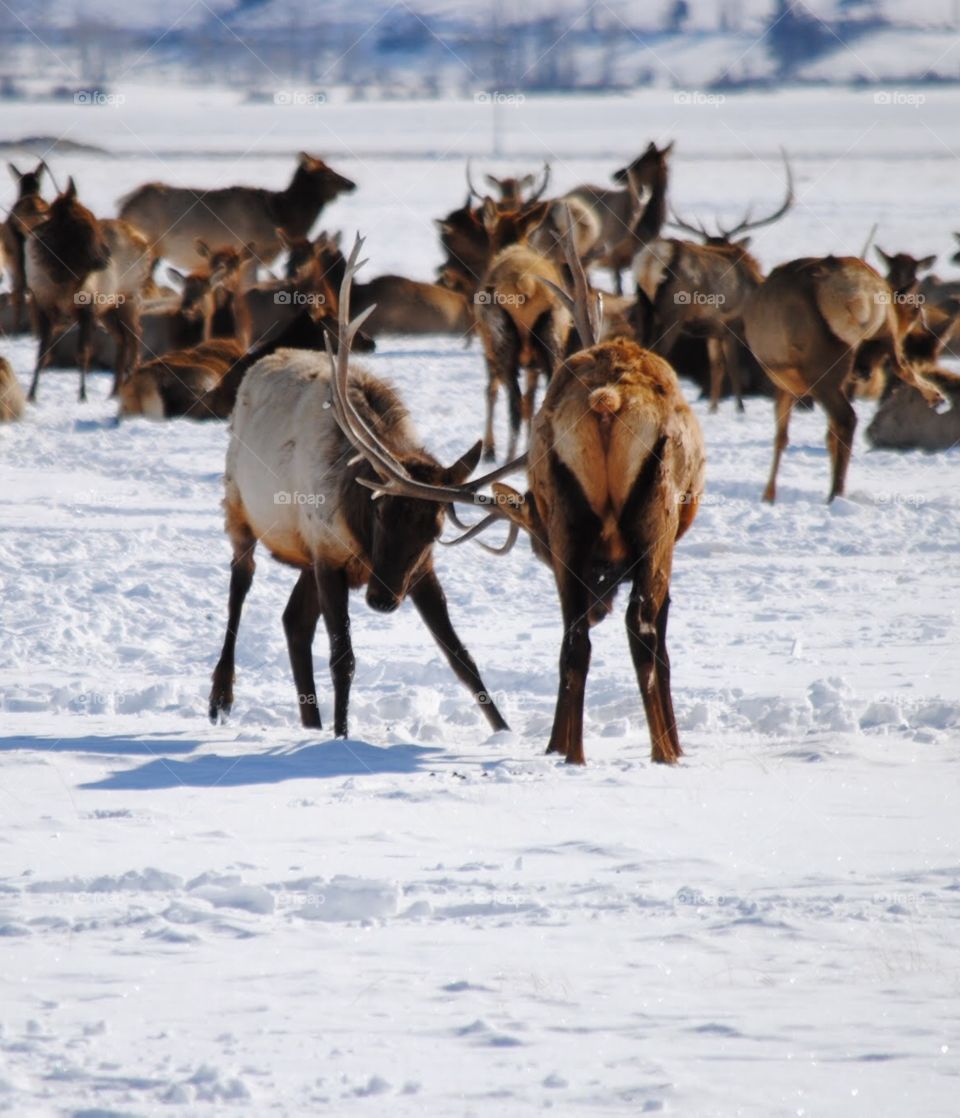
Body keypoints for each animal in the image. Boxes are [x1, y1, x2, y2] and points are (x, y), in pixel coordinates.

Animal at [25, 178, 150, 402]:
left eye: (93, 221)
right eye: (80, 225)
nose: (105, 259)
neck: (61, 280)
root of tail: (146, 242)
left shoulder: (88, 307)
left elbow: (83, 353)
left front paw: (82, 395)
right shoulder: (42, 305)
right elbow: (41, 354)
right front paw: (31, 394)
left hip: (128, 298)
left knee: (135, 337)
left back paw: (127, 381)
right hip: (109, 309)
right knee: (122, 340)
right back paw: (114, 390)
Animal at [117, 153, 356, 272]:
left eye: (330, 167)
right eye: (326, 173)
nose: (352, 184)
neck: (281, 215)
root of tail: (123, 206)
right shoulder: (252, 254)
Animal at [207, 235, 508, 737]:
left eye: (435, 529)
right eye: (382, 510)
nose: (383, 601)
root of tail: (262, 358)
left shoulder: (416, 569)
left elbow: (463, 659)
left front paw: (506, 732)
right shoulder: (329, 557)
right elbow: (342, 659)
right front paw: (342, 735)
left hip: (303, 550)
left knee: (293, 622)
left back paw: (309, 722)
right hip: (239, 508)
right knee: (240, 587)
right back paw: (220, 698)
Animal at [476, 197, 572, 461]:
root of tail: (525, 284)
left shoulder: (487, 350)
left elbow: (491, 392)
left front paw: (489, 449)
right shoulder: (533, 364)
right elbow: (531, 401)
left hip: (502, 339)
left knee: (514, 403)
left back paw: (508, 457)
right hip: (552, 336)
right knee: (541, 400)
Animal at [743, 256, 944, 503]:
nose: (863, 371)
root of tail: (861, 291)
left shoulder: (783, 385)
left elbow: (781, 437)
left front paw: (768, 496)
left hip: (821, 368)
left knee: (846, 418)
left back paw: (835, 493)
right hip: (883, 334)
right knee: (900, 366)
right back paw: (936, 396)